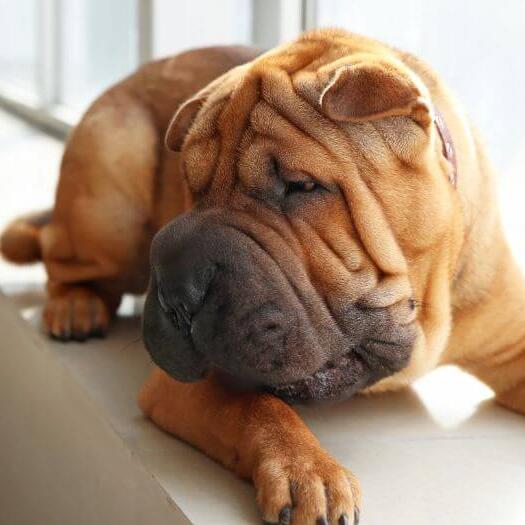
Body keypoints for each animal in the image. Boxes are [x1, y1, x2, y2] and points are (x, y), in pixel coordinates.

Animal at [3, 29, 524, 524]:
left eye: (301, 186)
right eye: (190, 186)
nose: (177, 289)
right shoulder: (190, 382)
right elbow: (257, 407)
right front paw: (308, 472)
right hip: (113, 182)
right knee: (58, 251)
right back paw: (76, 303)